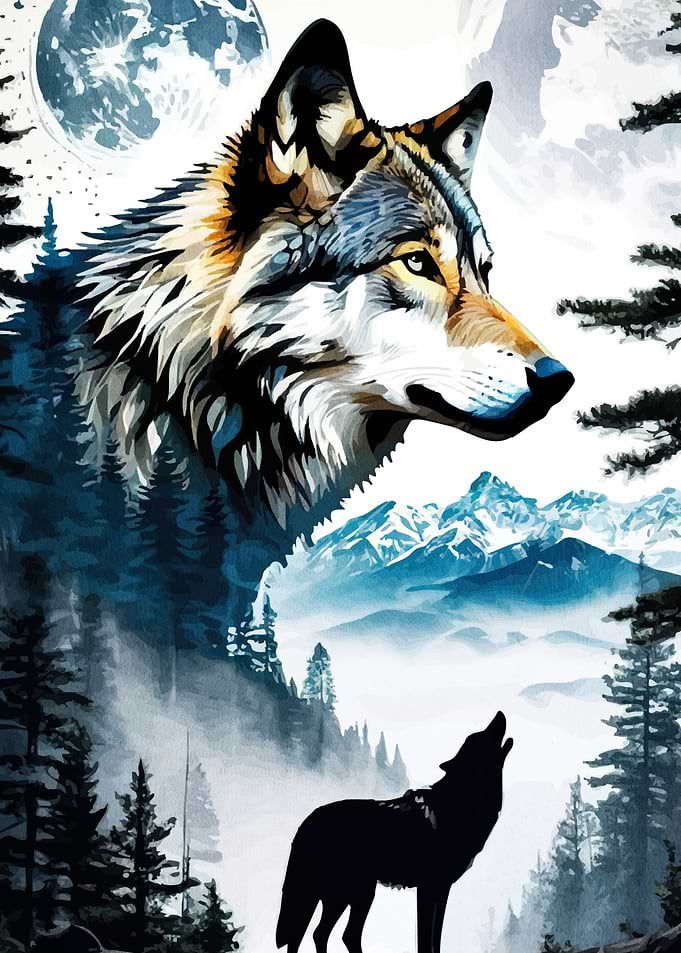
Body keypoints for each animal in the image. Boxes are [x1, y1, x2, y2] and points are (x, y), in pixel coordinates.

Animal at [276, 711, 513, 953]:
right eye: (480, 736)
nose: (500, 713)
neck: (461, 803)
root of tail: (308, 820)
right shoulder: (428, 888)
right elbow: (424, 941)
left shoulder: (441, 889)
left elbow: (435, 940)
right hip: (353, 894)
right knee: (326, 934)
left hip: (348, 895)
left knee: (324, 934)